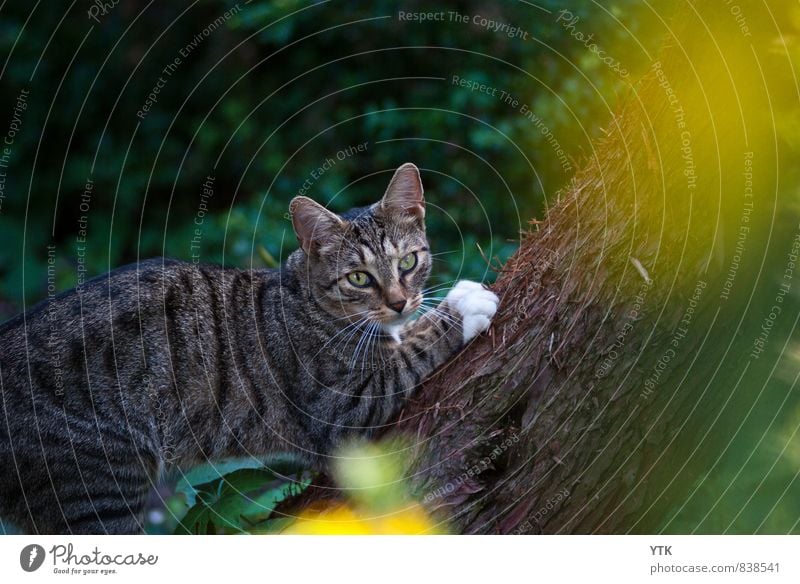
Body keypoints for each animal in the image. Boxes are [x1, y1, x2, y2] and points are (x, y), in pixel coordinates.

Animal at [0, 163, 500, 532]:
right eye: (359, 278)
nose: (398, 303)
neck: (305, 298)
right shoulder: (345, 408)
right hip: (97, 486)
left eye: (408, 262)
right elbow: (414, 347)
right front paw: (464, 303)